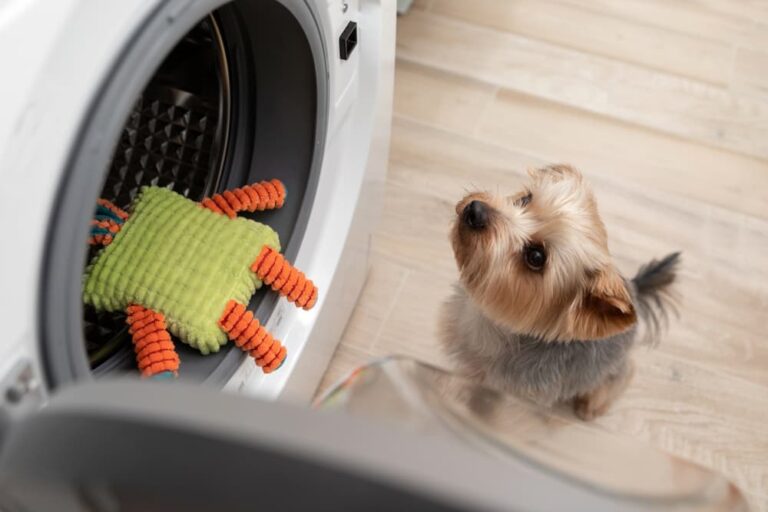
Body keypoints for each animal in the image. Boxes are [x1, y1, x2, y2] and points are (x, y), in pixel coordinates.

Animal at [438, 164, 680, 420]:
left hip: (605, 365)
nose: (475, 210)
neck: (489, 323)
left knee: (623, 373)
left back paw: (591, 406)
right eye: (525, 199)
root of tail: (632, 289)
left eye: (536, 257)